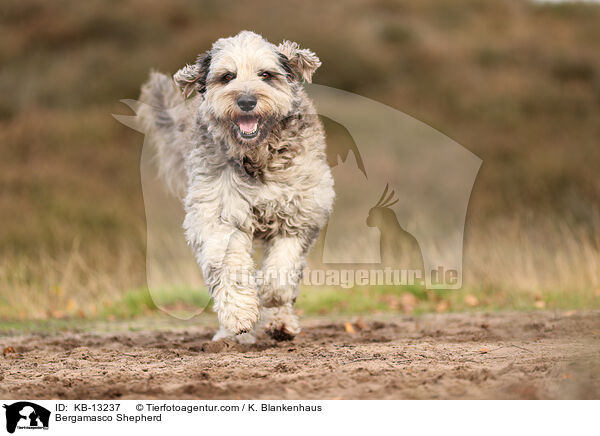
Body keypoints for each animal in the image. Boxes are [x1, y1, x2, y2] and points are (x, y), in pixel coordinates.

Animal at [141, 31, 336, 344]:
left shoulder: (300, 213)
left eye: (266, 75)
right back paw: (229, 335)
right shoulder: (218, 216)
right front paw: (239, 315)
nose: (246, 100)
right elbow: (229, 268)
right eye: (227, 76)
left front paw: (271, 294)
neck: (257, 157)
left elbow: (282, 269)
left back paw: (281, 324)